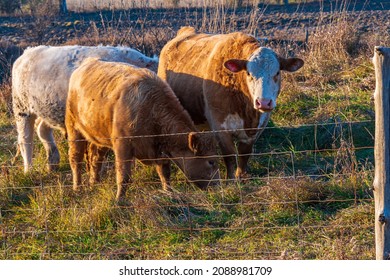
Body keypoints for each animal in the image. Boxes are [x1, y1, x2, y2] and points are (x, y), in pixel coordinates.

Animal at [12, 45, 158, 173]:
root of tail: (27, 53)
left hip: (47, 108)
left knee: (42, 129)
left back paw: (53, 162)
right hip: (22, 108)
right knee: (25, 140)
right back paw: (29, 170)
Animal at [65, 58, 221, 200]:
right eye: (211, 161)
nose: (218, 186)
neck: (150, 109)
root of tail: (86, 64)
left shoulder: (160, 152)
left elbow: (165, 173)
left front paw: (168, 193)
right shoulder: (123, 147)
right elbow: (124, 176)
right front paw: (119, 200)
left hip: (99, 136)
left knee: (96, 158)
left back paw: (94, 183)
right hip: (74, 129)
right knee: (75, 159)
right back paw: (77, 188)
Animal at [158, 27, 304, 180]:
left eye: (277, 73)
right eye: (249, 74)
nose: (263, 102)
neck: (248, 112)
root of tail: (185, 31)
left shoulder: (257, 127)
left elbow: (244, 154)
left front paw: (242, 176)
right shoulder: (219, 125)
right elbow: (229, 155)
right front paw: (231, 179)